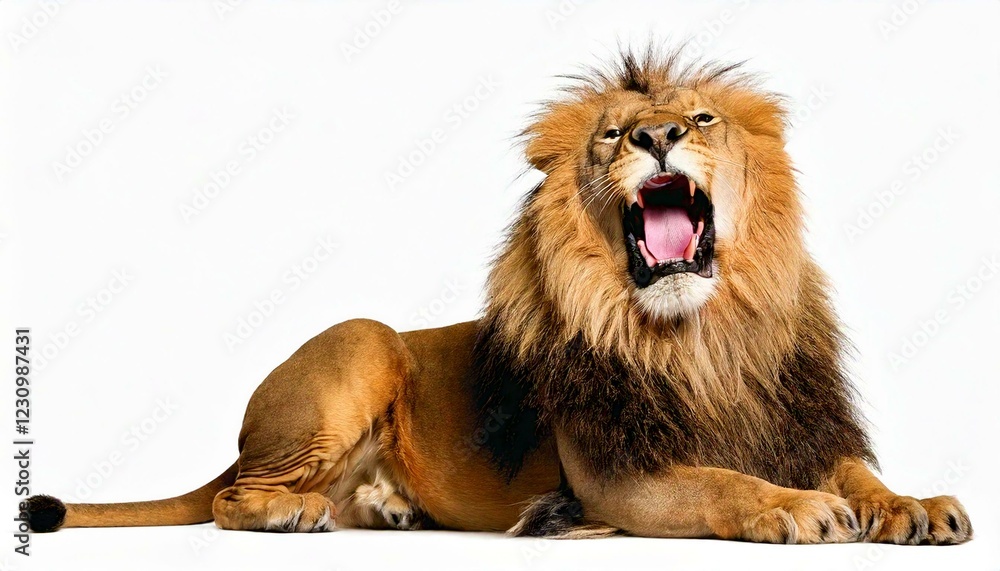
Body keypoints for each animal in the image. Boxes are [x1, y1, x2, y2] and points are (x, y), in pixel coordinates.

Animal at [25, 47, 972, 545]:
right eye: (611, 136)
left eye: (702, 120)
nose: (657, 135)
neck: (703, 336)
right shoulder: (621, 478)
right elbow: (724, 484)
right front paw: (798, 506)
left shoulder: (790, 419)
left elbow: (857, 468)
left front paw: (916, 504)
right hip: (362, 341)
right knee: (228, 499)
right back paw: (291, 509)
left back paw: (389, 507)